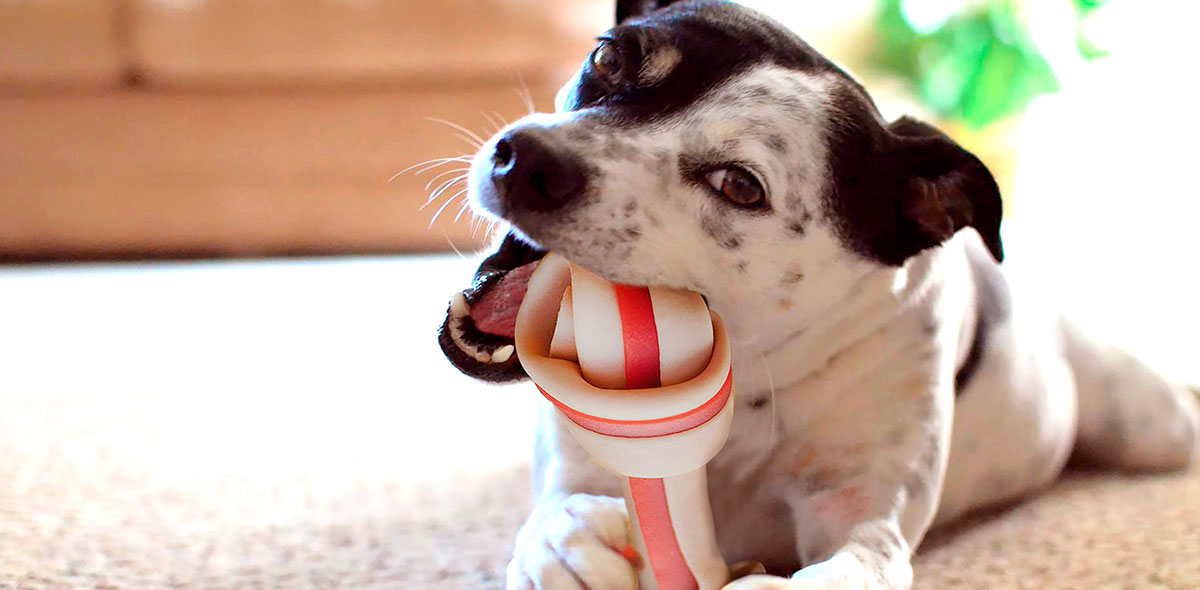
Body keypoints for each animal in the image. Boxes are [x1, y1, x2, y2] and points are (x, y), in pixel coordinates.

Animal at [437, 1, 1200, 588]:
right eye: (610, 58)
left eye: (739, 185)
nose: (526, 159)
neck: (744, 382)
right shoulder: (583, 459)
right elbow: (561, 510)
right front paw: (566, 543)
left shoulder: (863, 522)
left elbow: (842, 568)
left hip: (1152, 428)